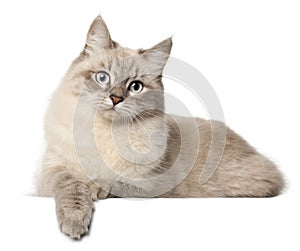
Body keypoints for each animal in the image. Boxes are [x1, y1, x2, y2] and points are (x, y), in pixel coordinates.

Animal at [34, 16, 284, 239]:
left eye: (135, 87)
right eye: (102, 78)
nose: (115, 99)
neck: (106, 132)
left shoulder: (152, 184)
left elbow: (115, 182)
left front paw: (95, 188)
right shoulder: (53, 170)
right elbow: (72, 187)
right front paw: (75, 221)